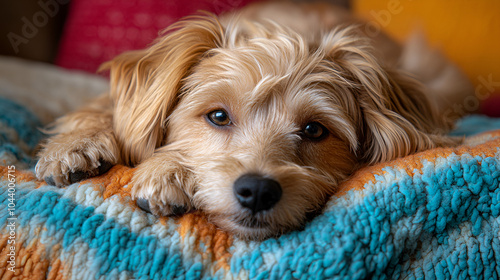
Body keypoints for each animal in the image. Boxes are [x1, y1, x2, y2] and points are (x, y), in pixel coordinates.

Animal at [35, 1, 472, 240]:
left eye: (314, 129)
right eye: (218, 116)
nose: (258, 191)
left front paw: (168, 169)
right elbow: (104, 110)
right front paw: (78, 144)